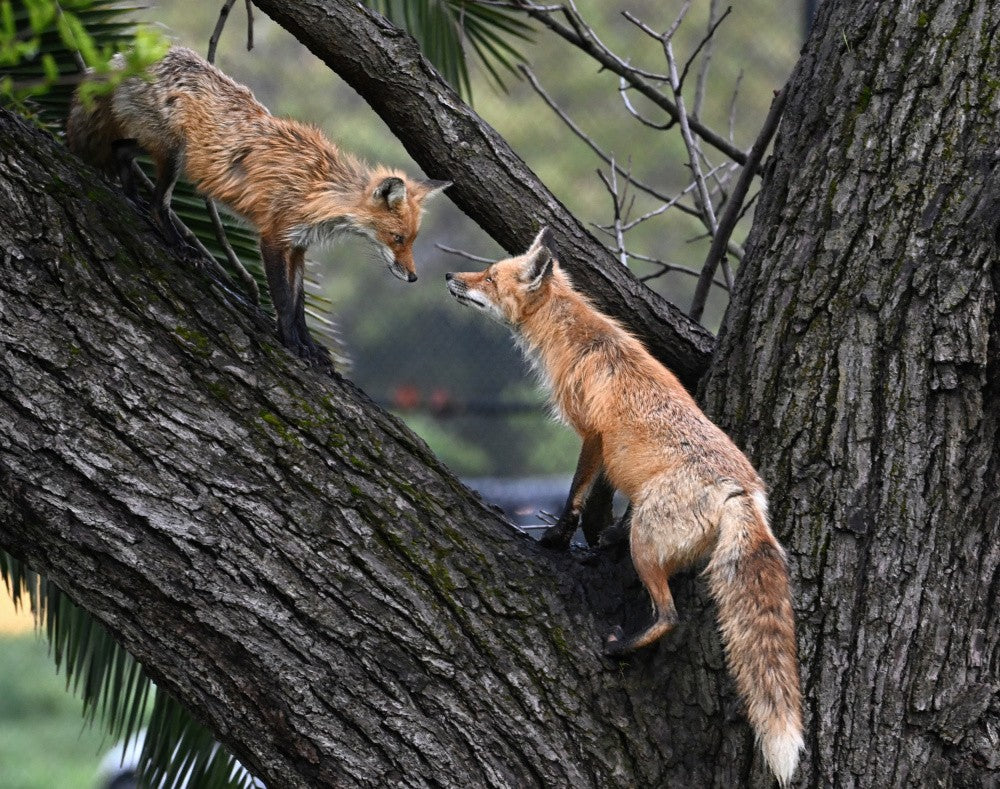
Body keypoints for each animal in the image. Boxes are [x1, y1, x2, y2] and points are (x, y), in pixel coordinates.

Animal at [66, 45, 449, 365]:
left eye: (412, 240)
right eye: (398, 238)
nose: (413, 277)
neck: (319, 189)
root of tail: (130, 55)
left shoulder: (298, 246)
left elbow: (298, 305)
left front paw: (308, 346)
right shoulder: (273, 236)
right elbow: (282, 300)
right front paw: (291, 344)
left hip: (164, 149)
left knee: (121, 151)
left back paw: (132, 197)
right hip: (175, 154)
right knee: (158, 201)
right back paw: (177, 242)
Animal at [446, 228, 804, 786]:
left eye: (488, 276)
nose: (448, 276)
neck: (580, 342)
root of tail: (742, 490)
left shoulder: (592, 435)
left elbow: (578, 495)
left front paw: (558, 539)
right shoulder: (602, 445)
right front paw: (596, 535)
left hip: (648, 546)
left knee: (670, 617)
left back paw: (619, 646)